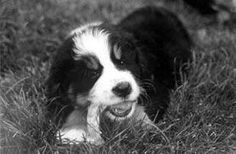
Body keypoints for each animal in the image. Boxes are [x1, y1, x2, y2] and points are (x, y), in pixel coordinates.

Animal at [46, 6, 192, 145]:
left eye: (122, 62)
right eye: (93, 73)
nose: (123, 88)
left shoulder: (156, 86)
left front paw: (144, 126)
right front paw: (73, 130)